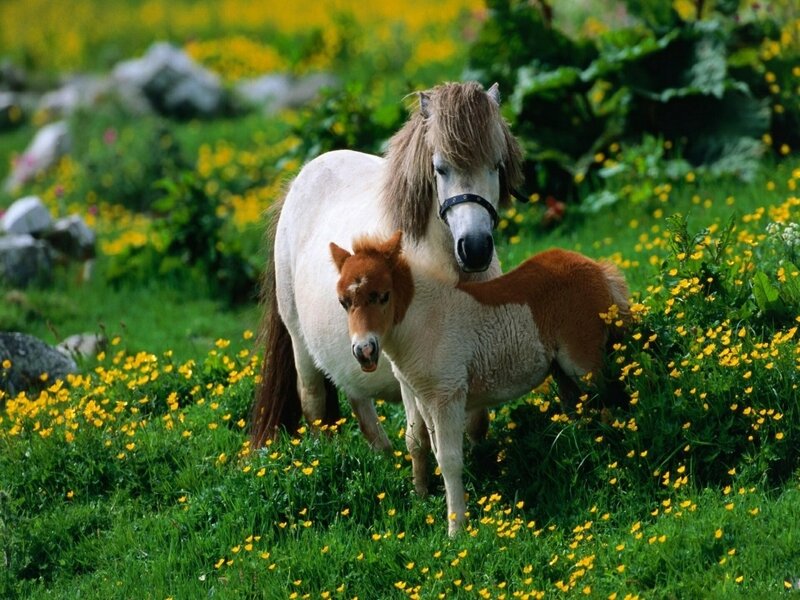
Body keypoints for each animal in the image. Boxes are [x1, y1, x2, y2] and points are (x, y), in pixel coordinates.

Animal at [250, 82, 524, 450]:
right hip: (299, 342)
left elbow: (477, 422)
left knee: (356, 396)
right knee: (314, 402)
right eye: (440, 168)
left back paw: (383, 453)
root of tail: (299, 181)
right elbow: (423, 434)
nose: (476, 248)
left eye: (496, 165)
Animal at [330, 231, 630, 536]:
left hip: (583, 364)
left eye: (383, 296)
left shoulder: (448, 396)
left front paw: (456, 529)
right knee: (579, 408)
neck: (424, 321)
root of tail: (597, 268)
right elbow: (432, 450)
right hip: (561, 370)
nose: (364, 351)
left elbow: (450, 459)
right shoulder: (424, 399)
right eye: (343, 302)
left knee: (612, 401)